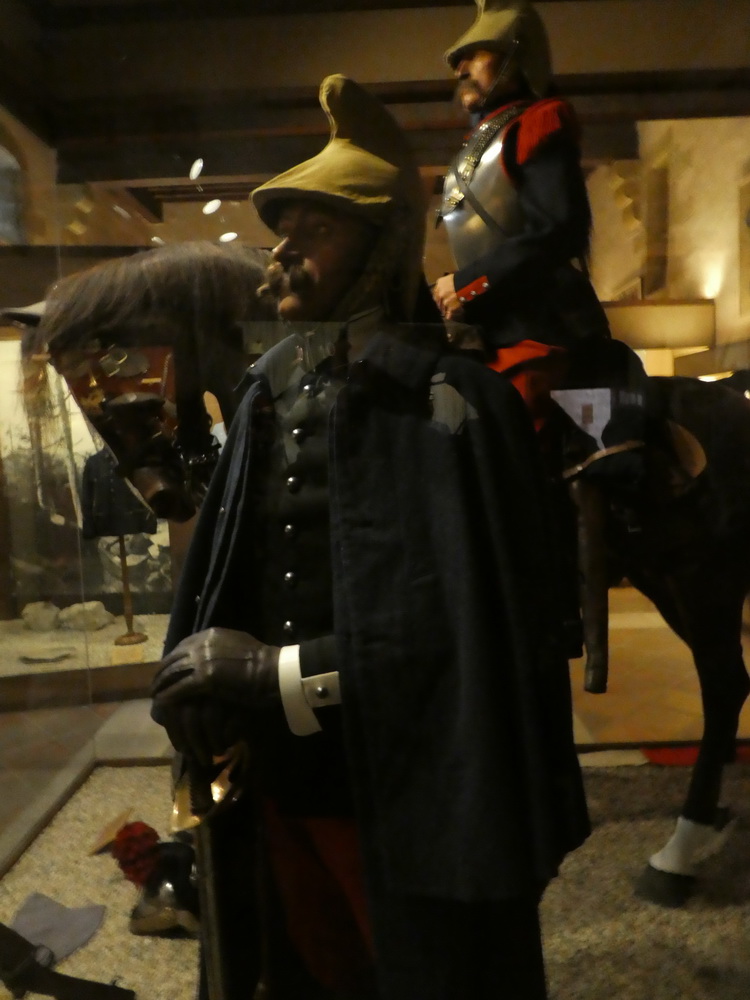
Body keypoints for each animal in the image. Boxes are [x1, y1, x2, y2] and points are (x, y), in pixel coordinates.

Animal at [25, 240, 750, 908]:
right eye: (82, 404)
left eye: (114, 398)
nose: (166, 498)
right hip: (672, 582)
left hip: (702, 582)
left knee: (721, 688)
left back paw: (679, 851)